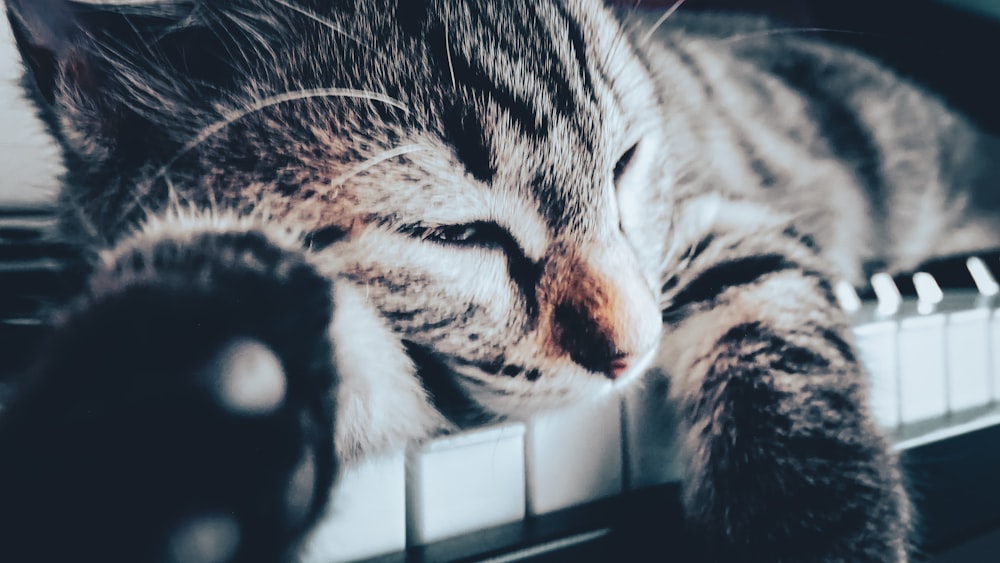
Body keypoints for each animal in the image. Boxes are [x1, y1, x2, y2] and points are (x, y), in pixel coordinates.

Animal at [7, 0, 1000, 560]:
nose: (634, 350)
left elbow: (773, 317)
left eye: (626, 163)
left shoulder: (715, 223)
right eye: (456, 233)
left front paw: (816, 524)